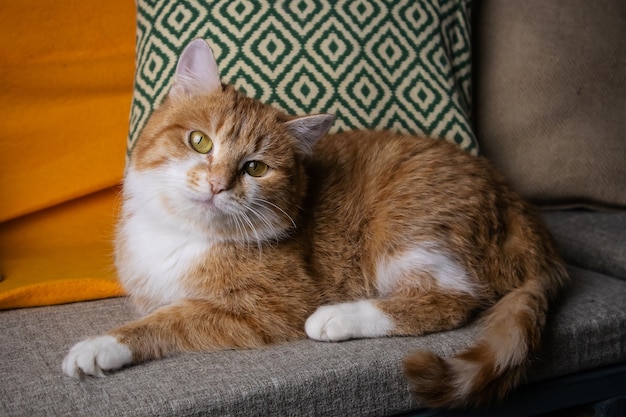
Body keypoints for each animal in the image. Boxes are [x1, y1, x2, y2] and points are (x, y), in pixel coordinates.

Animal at [62, 39, 564, 406]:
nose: (218, 185)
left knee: (452, 300)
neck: (184, 236)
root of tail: (518, 206)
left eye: (256, 168)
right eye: (199, 141)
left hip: (406, 229)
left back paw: (340, 316)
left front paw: (102, 345)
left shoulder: (265, 306)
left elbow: (170, 321)